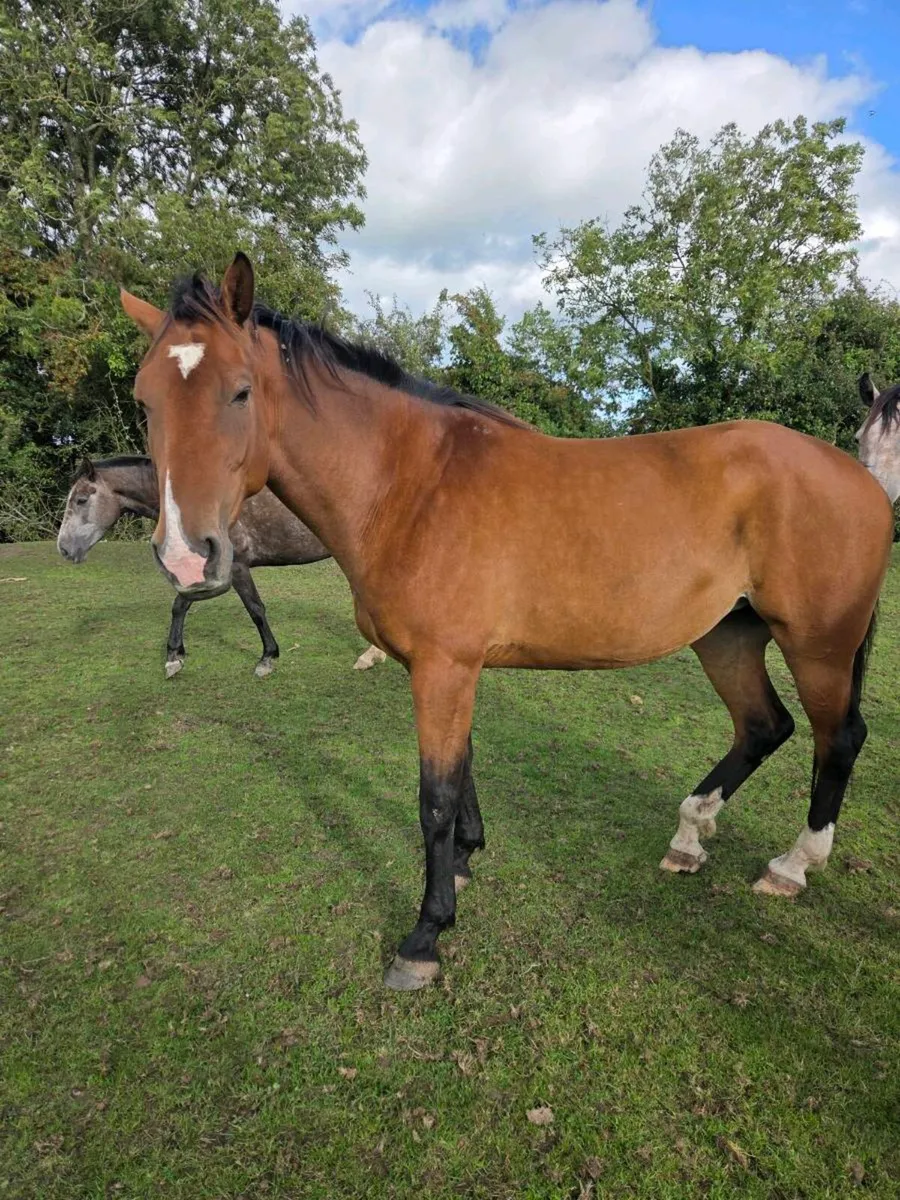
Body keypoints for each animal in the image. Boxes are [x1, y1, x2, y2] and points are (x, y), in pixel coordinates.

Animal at [57, 455, 386, 677]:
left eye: (81, 499)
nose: (64, 548)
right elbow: (181, 603)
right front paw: (174, 656)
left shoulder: (235, 569)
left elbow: (255, 609)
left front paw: (267, 658)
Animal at [119, 254, 894, 991]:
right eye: (145, 401)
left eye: (240, 391)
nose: (186, 556)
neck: (410, 484)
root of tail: (860, 477)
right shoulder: (450, 667)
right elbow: (463, 772)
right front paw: (465, 863)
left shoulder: (444, 667)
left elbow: (434, 796)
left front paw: (425, 936)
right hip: (727, 634)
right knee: (764, 726)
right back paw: (690, 836)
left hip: (818, 644)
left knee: (837, 738)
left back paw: (791, 865)